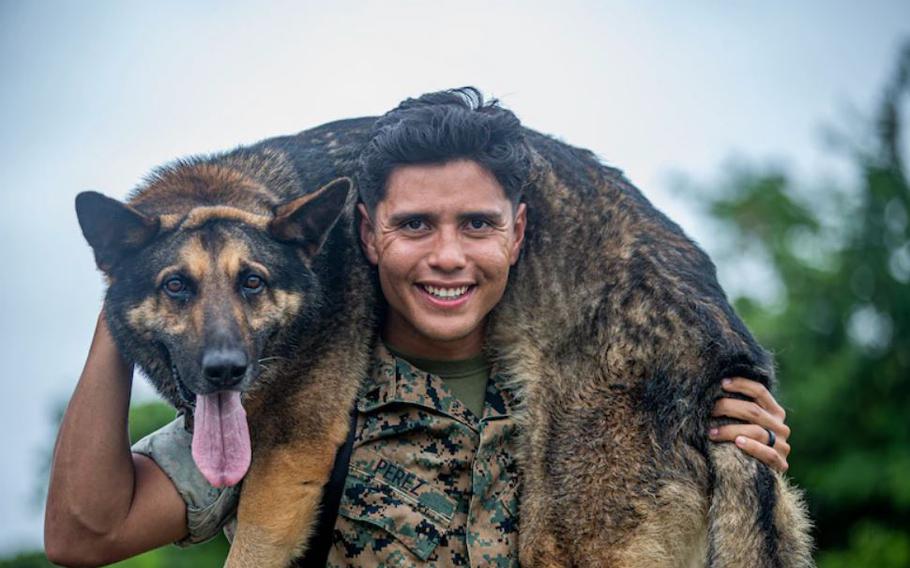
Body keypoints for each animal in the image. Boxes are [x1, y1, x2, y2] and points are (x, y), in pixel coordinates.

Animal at [76, 117, 812, 564]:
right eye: (176, 287)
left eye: (252, 282)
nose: (224, 370)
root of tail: (724, 349)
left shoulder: (291, 458)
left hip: (566, 531)